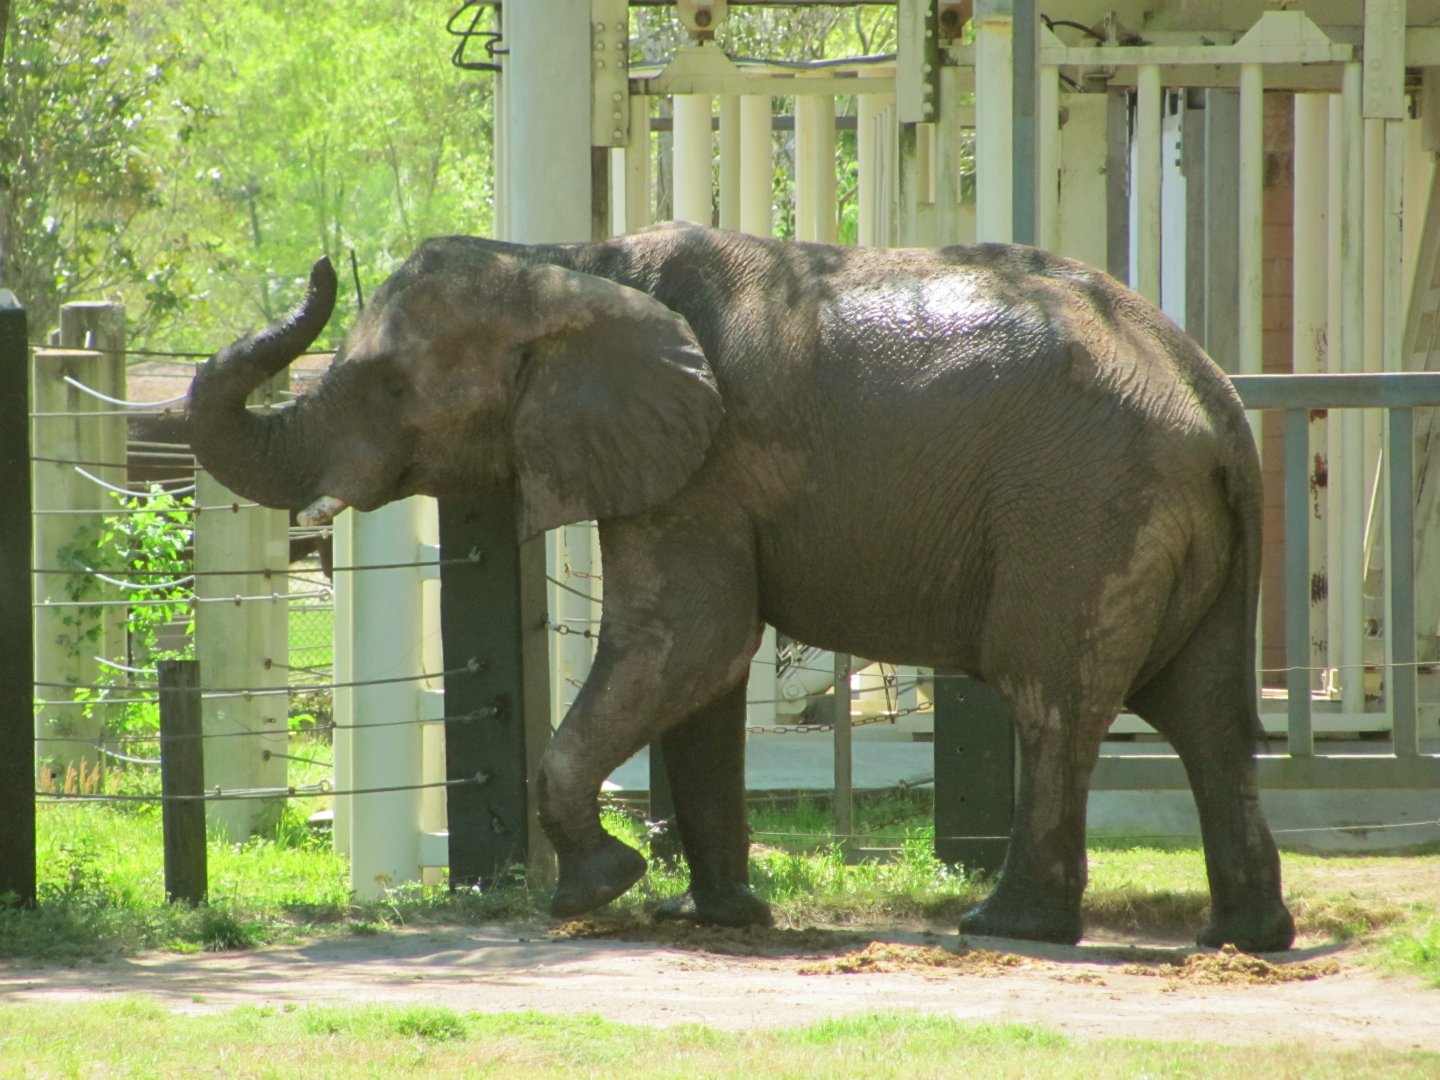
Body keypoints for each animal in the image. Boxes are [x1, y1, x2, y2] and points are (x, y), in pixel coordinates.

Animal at [187, 222, 1297, 953]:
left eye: (387, 386)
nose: (319, 266)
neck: (571, 265)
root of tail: (1217, 401)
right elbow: (704, 676)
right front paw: (711, 916)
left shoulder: (705, 461)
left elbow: (690, 639)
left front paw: (595, 891)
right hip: (1176, 527)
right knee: (1207, 717)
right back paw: (1242, 940)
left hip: (1082, 505)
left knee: (1051, 698)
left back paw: (1004, 928)